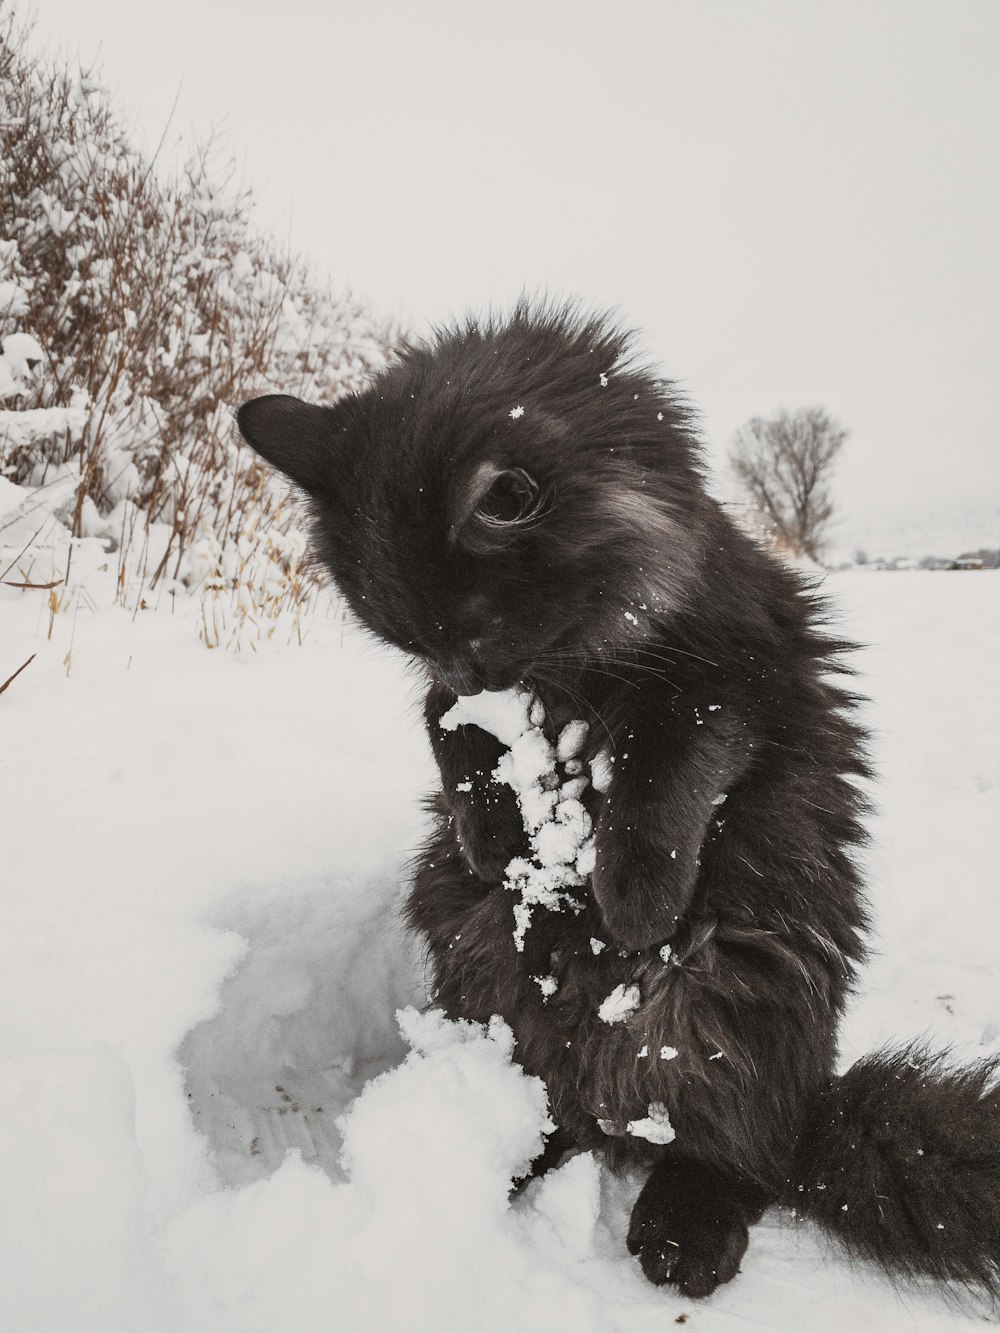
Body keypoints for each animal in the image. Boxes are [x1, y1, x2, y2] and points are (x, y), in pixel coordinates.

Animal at [237, 302, 1000, 1301]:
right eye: (407, 637)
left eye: (474, 628)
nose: (472, 671)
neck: (576, 670)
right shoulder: (461, 707)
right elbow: (446, 731)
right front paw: (493, 830)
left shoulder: (726, 682)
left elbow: (657, 787)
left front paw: (631, 899)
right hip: (480, 971)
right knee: (559, 1115)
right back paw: (494, 1152)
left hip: (740, 1013)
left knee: (737, 1157)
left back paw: (683, 1231)